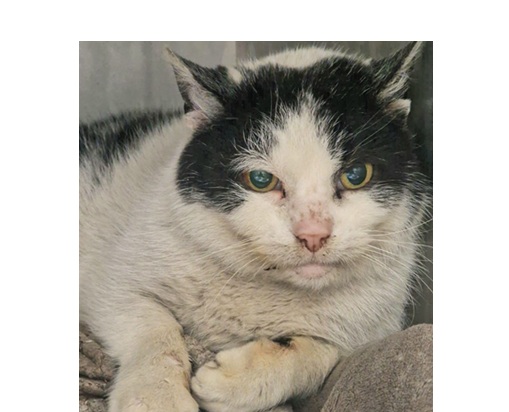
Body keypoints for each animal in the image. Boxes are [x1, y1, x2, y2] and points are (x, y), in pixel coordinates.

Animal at [79, 42, 431, 412]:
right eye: (261, 180)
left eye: (356, 175)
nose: (313, 234)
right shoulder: (111, 282)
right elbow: (152, 325)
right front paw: (156, 397)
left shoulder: (374, 328)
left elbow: (322, 353)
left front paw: (234, 380)